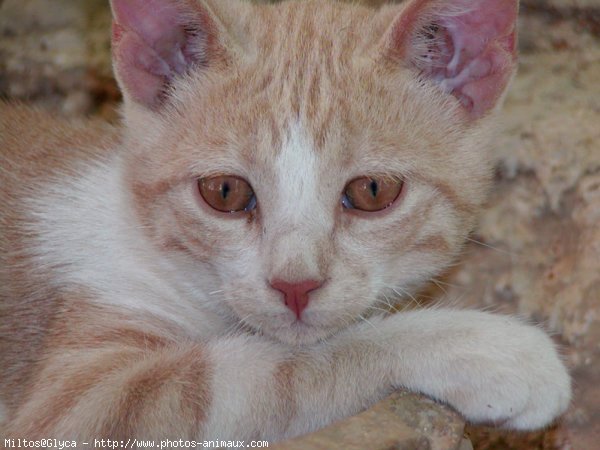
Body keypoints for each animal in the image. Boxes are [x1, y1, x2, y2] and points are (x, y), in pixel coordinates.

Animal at [1, 0, 572, 442]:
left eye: (372, 191)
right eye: (225, 193)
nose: (295, 285)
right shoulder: (80, 408)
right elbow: (270, 369)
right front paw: (483, 346)